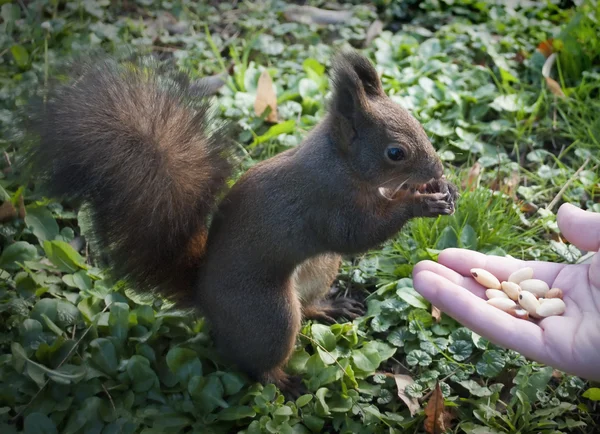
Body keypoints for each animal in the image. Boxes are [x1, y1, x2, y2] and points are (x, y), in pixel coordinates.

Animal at [22, 50, 454, 396]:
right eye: (395, 153)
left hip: (319, 270)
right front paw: (421, 203)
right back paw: (282, 381)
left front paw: (439, 188)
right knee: (261, 359)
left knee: (307, 305)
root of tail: (205, 300)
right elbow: (357, 235)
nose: (437, 169)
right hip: (269, 315)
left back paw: (328, 308)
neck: (342, 163)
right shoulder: (326, 204)